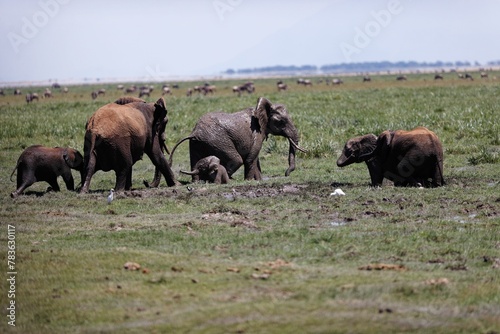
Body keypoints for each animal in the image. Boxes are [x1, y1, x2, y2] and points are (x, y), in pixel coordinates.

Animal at [168, 96, 306, 181]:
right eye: (281, 121)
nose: (286, 174)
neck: (259, 110)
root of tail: (195, 132)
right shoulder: (257, 133)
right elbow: (251, 158)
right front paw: (249, 181)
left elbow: (255, 159)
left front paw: (259, 181)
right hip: (218, 140)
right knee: (236, 160)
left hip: (196, 143)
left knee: (195, 161)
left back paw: (198, 181)